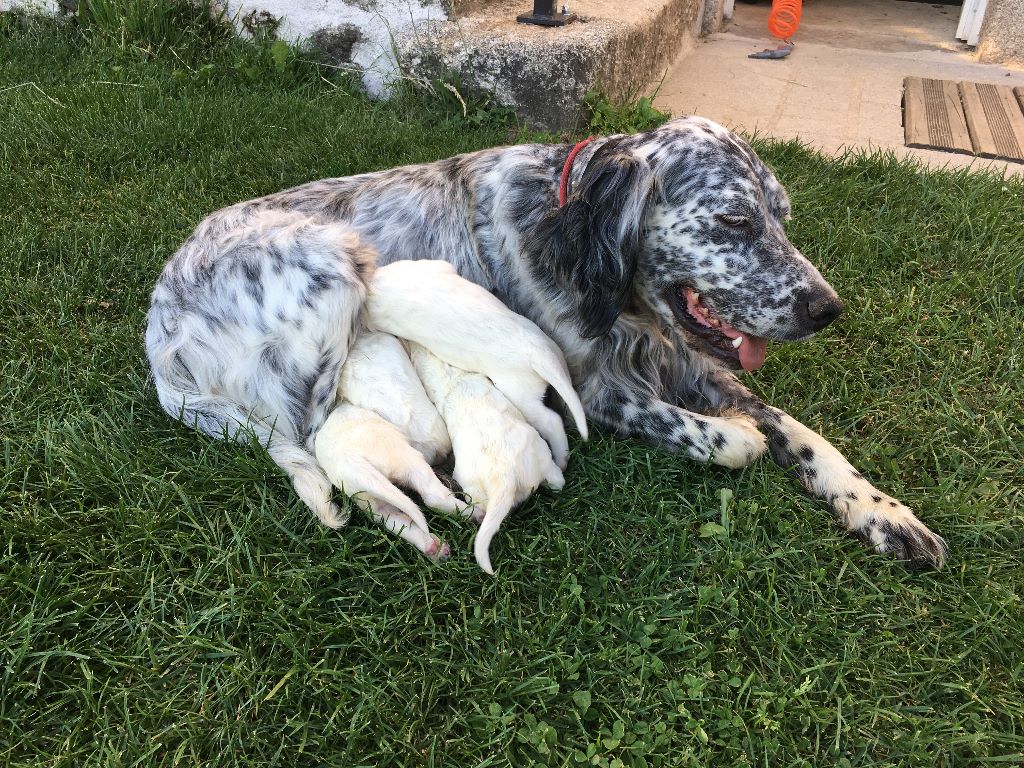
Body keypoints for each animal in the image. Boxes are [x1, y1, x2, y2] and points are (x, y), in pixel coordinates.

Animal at [309, 405, 458, 561]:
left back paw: (434, 548)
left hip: (370, 500)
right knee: (435, 496)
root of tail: (351, 462)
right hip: (405, 458)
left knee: (395, 520)